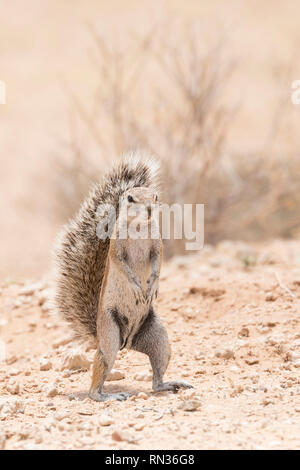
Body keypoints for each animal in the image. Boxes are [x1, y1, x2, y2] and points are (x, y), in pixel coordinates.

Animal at [52, 153, 191, 400]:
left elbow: (158, 263)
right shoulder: (117, 248)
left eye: (155, 196)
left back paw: (169, 384)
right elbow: (122, 265)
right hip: (109, 336)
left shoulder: (157, 246)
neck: (139, 228)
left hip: (159, 338)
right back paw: (105, 395)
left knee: (156, 377)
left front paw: (152, 285)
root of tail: (127, 342)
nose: (149, 209)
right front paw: (136, 286)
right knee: (98, 376)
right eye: (130, 198)